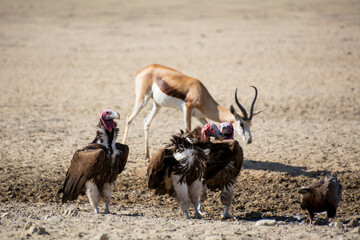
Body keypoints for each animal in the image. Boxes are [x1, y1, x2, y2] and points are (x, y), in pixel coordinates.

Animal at [123, 64, 258, 160]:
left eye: (250, 124)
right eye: (241, 124)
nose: (249, 140)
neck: (201, 94)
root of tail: (143, 70)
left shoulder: (200, 116)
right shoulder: (187, 109)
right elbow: (187, 130)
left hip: (157, 105)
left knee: (146, 122)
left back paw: (147, 156)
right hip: (142, 99)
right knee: (129, 117)